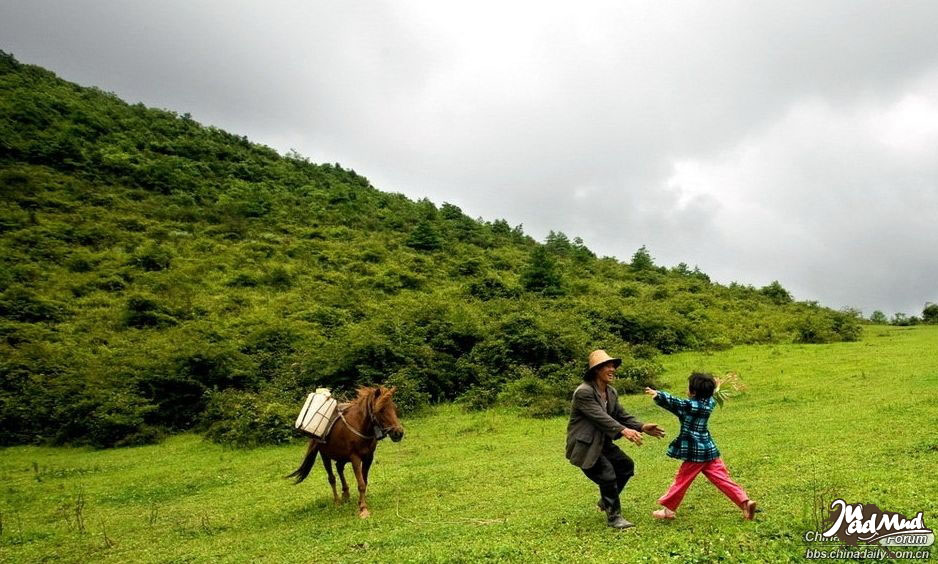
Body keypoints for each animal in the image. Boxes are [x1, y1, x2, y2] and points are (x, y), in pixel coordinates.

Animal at [286, 386, 402, 516]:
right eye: (380, 410)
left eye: (394, 407)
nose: (399, 433)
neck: (360, 426)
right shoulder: (355, 458)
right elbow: (361, 484)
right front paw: (363, 509)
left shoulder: (368, 457)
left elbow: (364, 481)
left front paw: (360, 502)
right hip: (325, 455)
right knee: (332, 478)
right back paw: (337, 501)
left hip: (341, 456)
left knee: (339, 467)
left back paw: (345, 494)